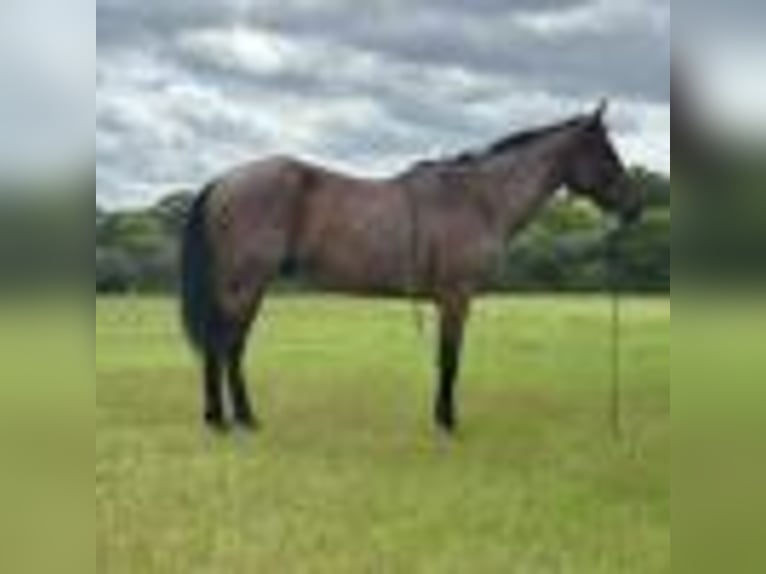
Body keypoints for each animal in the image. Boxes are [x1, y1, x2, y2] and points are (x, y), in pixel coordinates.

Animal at [180, 101, 643, 434]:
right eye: (606, 153)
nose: (635, 207)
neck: (479, 198)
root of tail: (224, 180)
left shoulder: (448, 301)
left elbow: (443, 360)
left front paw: (440, 418)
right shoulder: (457, 298)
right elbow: (451, 359)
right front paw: (448, 424)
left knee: (228, 346)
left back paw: (233, 418)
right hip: (244, 284)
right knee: (225, 346)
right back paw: (228, 421)